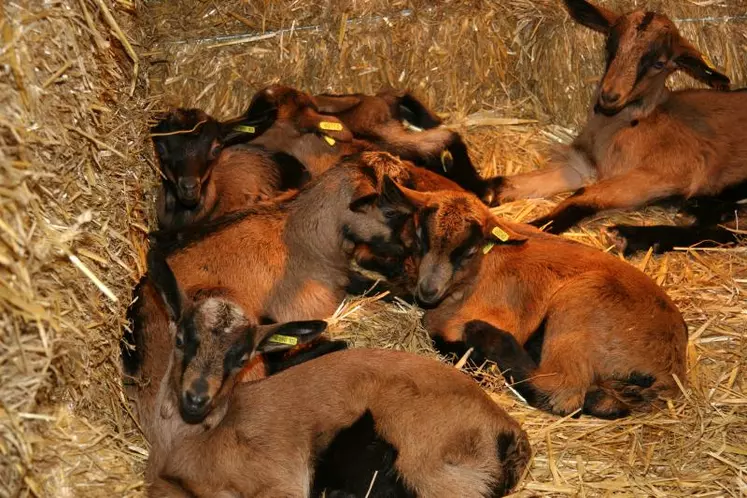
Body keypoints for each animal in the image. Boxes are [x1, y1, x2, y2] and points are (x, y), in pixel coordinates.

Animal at [145, 253, 532, 498]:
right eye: (181, 339)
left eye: (241, 359)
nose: (197, 398)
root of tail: (509, 431)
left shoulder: (280, 484)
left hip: (430, 469)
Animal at [494, 0, 744, 251]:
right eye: (609, 45)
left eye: (659, 63)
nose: (609, 96)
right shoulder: (583, 166)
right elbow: (521, 181)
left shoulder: (667, 172)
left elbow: (583, 196)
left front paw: (529, 229)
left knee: (726, 233)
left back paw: (628, 235)